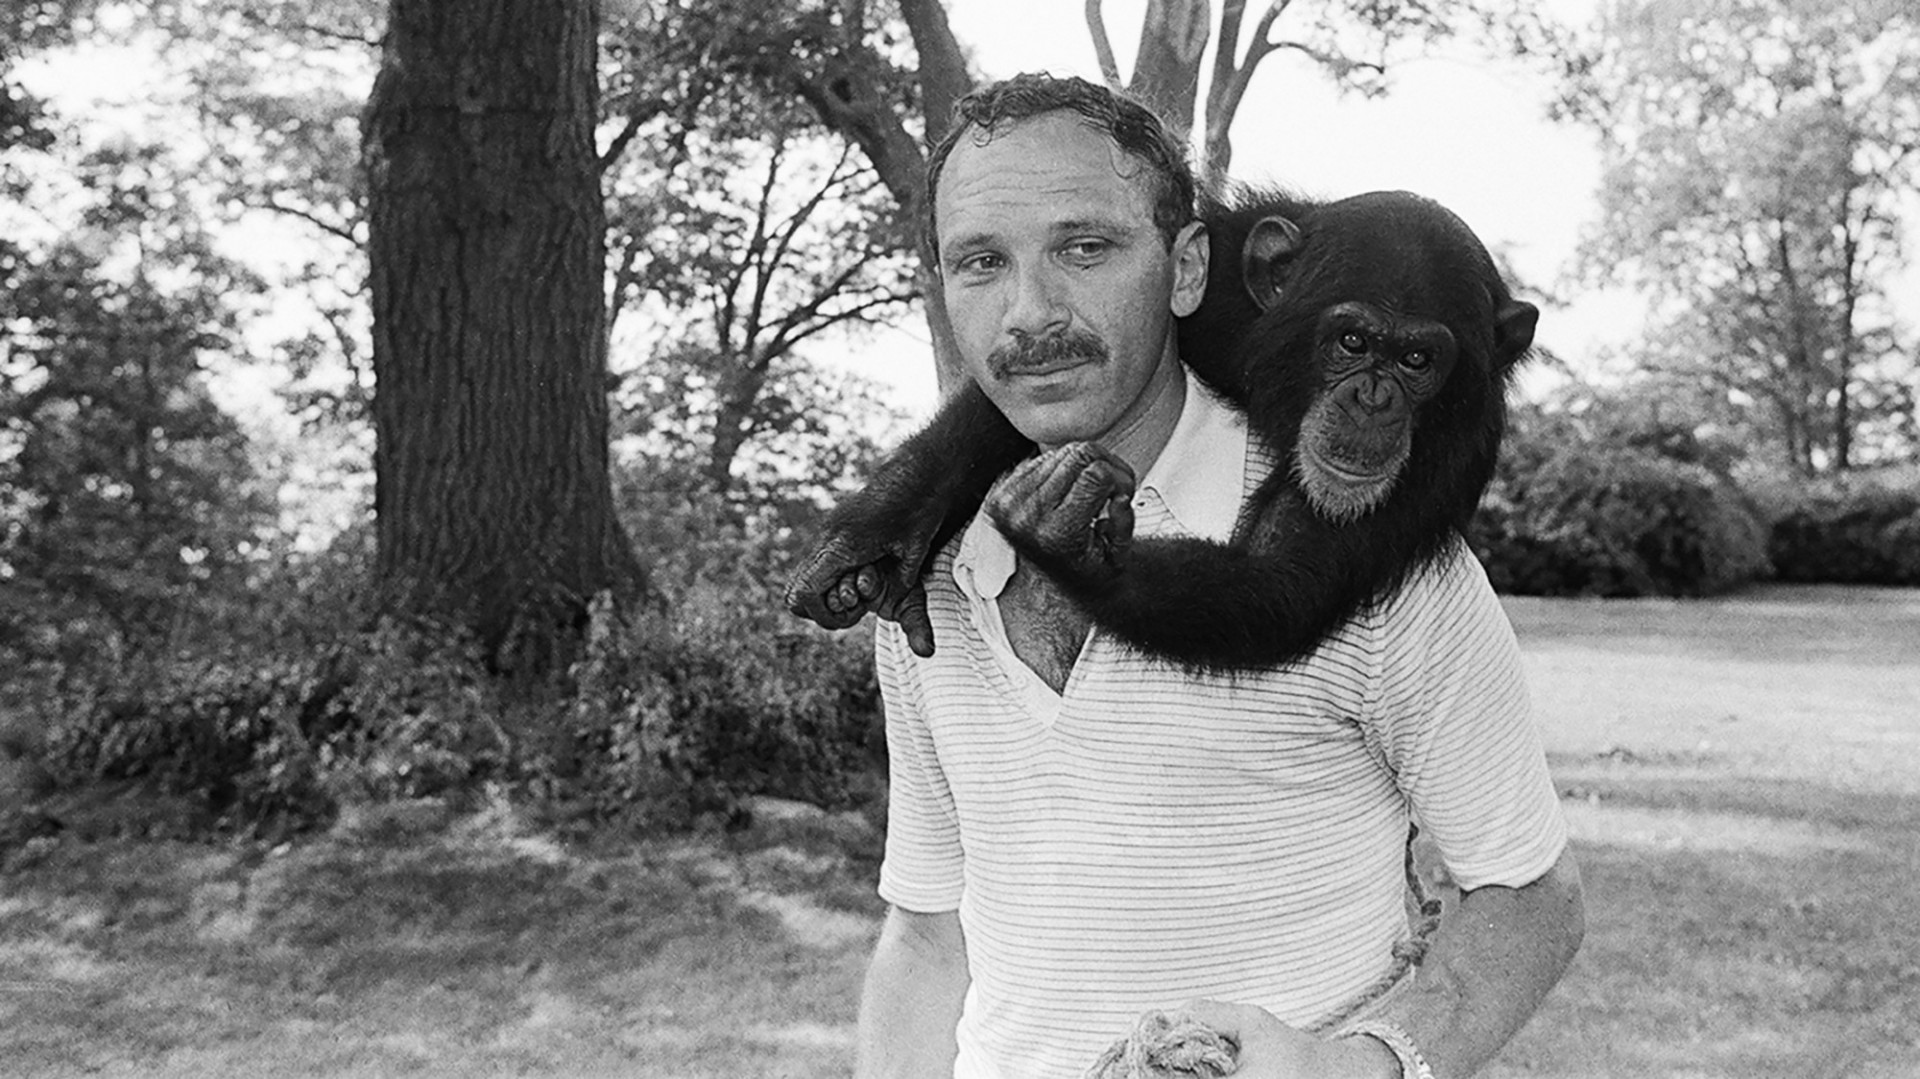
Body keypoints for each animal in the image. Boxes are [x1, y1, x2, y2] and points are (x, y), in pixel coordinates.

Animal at [779, 189, 1528, 668]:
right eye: (1352, 340)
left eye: (1417, 360)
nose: (1374, 399)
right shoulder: (1217, 296)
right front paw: (888, 525)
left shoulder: (1446, 457)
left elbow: (1276, 580)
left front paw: (1072, 543)